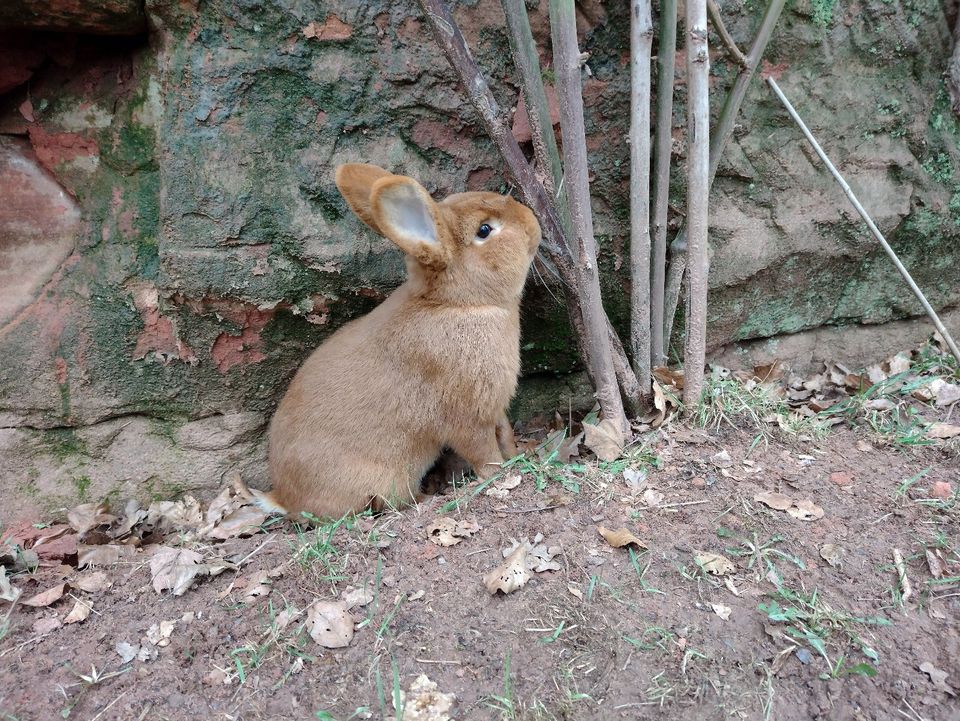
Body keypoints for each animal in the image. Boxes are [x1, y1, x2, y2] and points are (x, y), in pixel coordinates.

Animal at [258, 163, 544, 516]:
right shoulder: (466, 415)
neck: (456, 304)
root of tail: (283, 498)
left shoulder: (494, 407)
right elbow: (482, 450)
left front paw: (518, 455)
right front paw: (501, 474)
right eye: (484, 230)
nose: (533, 222)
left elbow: (504, 433)